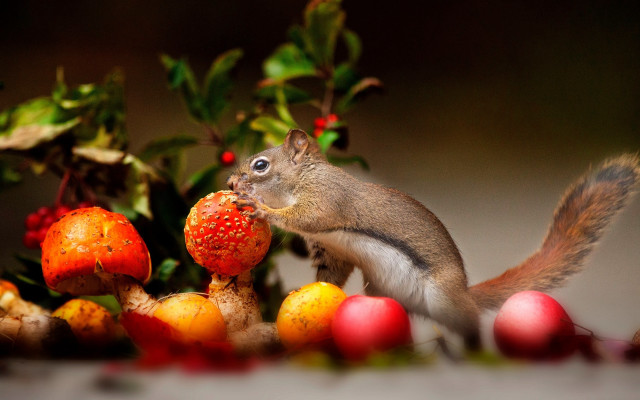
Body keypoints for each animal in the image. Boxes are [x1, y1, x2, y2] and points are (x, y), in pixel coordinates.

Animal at [227, 129, 640, 350]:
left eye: (260, 165)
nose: (231, 183)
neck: (304, 177)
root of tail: (464, 292)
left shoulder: (327, 200)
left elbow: (308, 217)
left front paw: (260, 208)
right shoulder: (331, 250)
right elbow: (331, 275)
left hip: (445, 299)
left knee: (470, 324)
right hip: (384, 292)